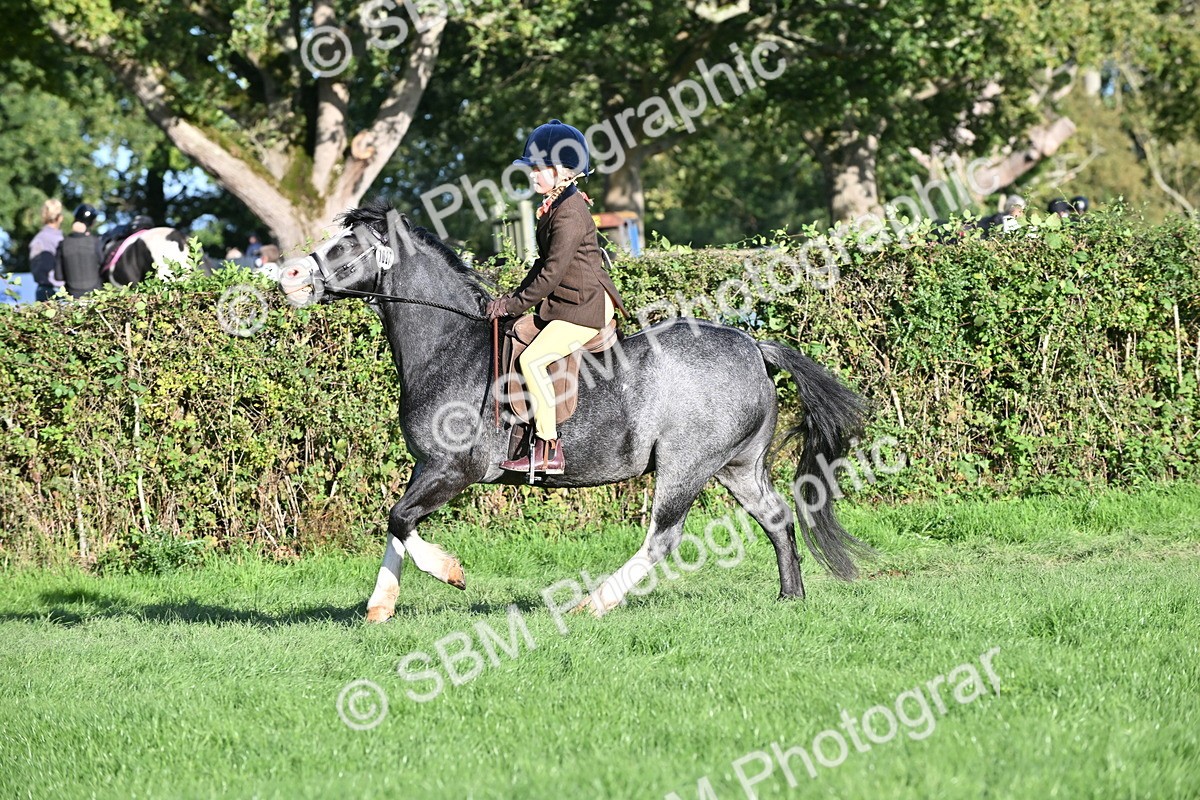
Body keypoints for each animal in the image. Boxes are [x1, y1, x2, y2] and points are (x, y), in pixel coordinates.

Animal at [279, 200, 873, 622]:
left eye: (345, 244)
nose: (290, 278)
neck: (449, 345)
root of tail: (753, 345)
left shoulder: (454, 469)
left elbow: (399, 519)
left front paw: (451, 573)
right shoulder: (427, 467)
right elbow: (398, 525)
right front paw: (379, 606)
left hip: (686, 465)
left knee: (663, 537)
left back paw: (595, 603)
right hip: (736, 465)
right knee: (776, 518)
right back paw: (790, 598)